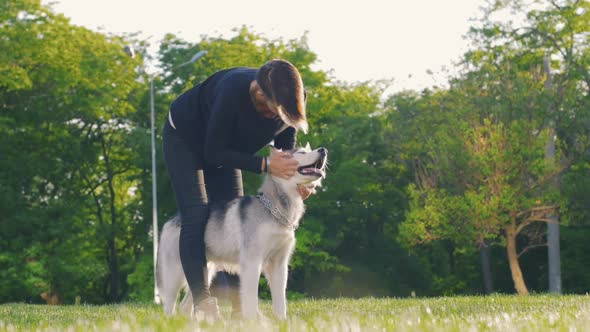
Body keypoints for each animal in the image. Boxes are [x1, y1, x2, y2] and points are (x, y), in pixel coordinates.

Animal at [157, 145, 328, 320]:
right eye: (301, 152)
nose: (323, 150)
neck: (273, 210)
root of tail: (172, 220)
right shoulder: (252, 263)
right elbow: (251, 300)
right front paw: (252, 321)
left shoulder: (279, 265)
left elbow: (281, 303)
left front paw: (281, 322)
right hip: (176, 274)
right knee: (169, 305)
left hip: (205, 272)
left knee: (186, 305)